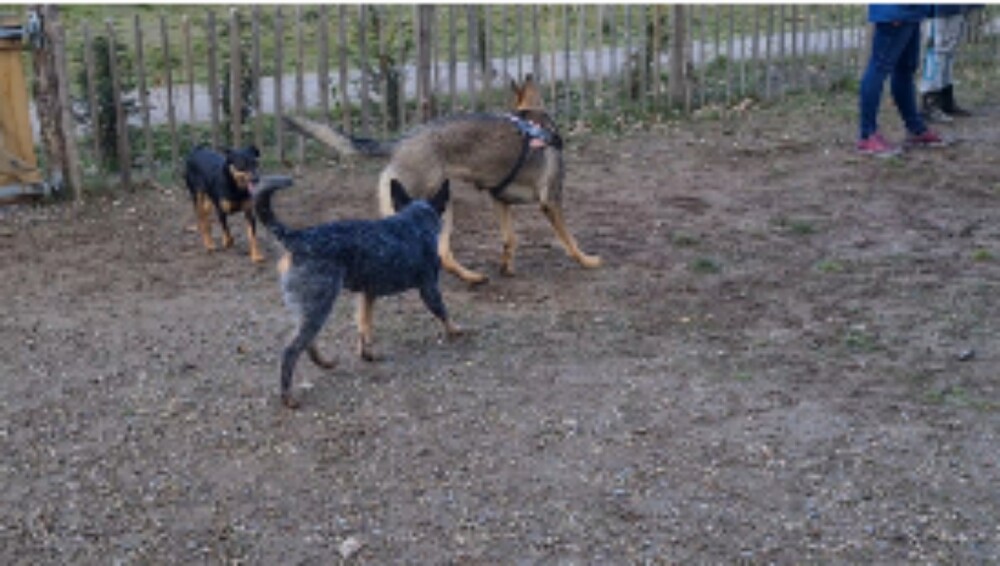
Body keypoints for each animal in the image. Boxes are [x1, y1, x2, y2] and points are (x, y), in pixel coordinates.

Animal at [253, 174, 460, 408]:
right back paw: (288, 396)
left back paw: (326, 363)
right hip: (319, 306)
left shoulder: (367, 294)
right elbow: (444, 313)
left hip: (309, 309)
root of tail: (299, 236)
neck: (413, 222)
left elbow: (364, 325)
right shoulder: (429, 288)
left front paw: (367, 354)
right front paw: (456, 331)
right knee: (291, 351)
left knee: (306, 343)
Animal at [284, 75, 601, 285]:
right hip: (441, 209)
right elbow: (570, 240)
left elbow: (510, 239)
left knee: (438, 253)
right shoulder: (551, 202)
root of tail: (400, 143)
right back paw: (472, 278)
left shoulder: (500, 202)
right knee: (443, 255)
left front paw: (507, 268)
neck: (533, 122)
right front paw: (587, 260)